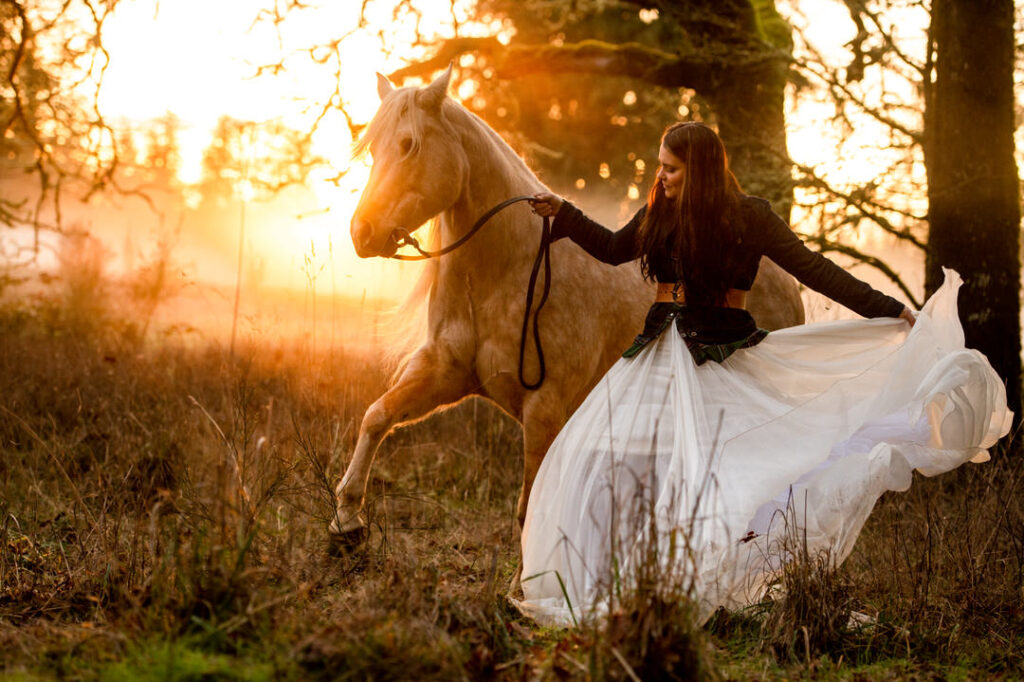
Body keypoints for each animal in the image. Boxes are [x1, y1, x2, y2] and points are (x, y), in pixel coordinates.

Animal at [331, 65, 802, 548]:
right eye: (374, 149)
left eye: (409, 145)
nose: (362, 232)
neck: (509, 273)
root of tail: (784, 283)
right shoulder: (443, 374)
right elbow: (377, 416)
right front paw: (347, 520)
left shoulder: (544, 408)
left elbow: (528, 511)